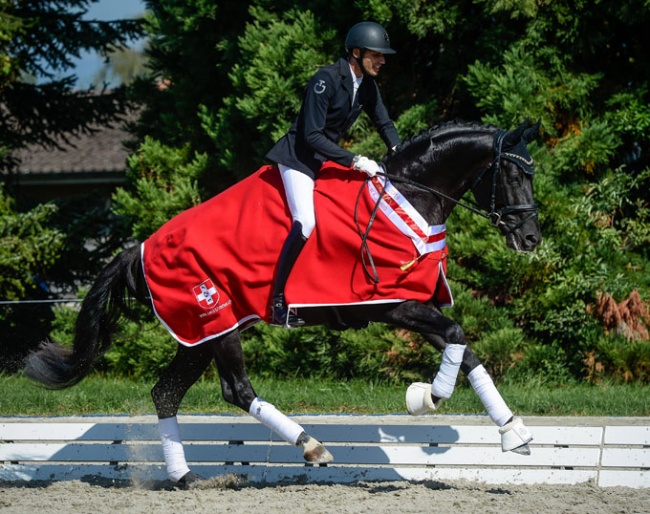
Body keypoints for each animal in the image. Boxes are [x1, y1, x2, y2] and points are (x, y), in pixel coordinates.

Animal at [25, 118, 540, 482]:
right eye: (512, 172)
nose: (531, 238)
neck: (409, 195)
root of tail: (142, 248)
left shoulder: (411, 302)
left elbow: (464, 348)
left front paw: (513, 432)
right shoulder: (390, 303)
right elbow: (455, 334)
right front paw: (427, 398)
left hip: (200, 334)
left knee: (166, 393)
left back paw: (186, 478)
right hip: (217, 324)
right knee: (236, 389)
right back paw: (310, 446)